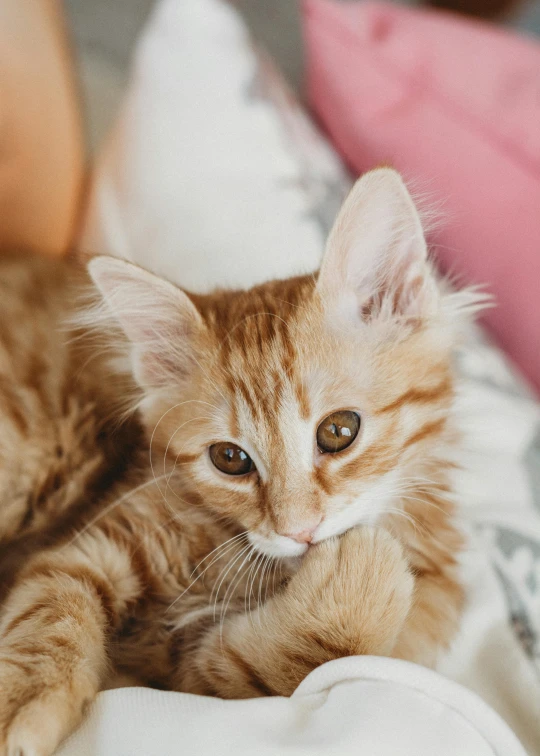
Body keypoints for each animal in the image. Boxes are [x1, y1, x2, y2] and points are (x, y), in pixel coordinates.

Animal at [0, 171, 478, 756]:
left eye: (339, 431)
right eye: (230, 459)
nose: (300, 531)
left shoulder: (194, 671)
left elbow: (292, 659)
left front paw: (364, 569)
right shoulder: (90, 548)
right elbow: (49, 616)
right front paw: (23, 707)